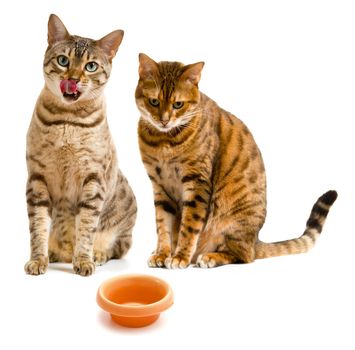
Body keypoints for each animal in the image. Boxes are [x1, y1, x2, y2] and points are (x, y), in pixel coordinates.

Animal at [24, 14, 136, 276]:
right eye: (63, 61)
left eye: (90, 66)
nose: (72, 79)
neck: (68, 119)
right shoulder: (37, 178)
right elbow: (38, 227)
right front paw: (38, 260)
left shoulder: (93, 178)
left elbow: (86, 226)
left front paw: (84, 260)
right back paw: (55, 253)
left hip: (127, 206)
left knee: (118, 246)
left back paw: (98, 254)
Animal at [136, 53, 336, 270]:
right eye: (154, 102)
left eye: (178, 104)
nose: (164, 120)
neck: (164, 141)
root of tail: (255, 240)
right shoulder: (159, 187)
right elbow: (163, 226)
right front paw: (162, 254)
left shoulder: (197, 182)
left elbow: (188, 227)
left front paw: (180, 256)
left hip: (233, 223)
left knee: (243, 255)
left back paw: (210, 257)